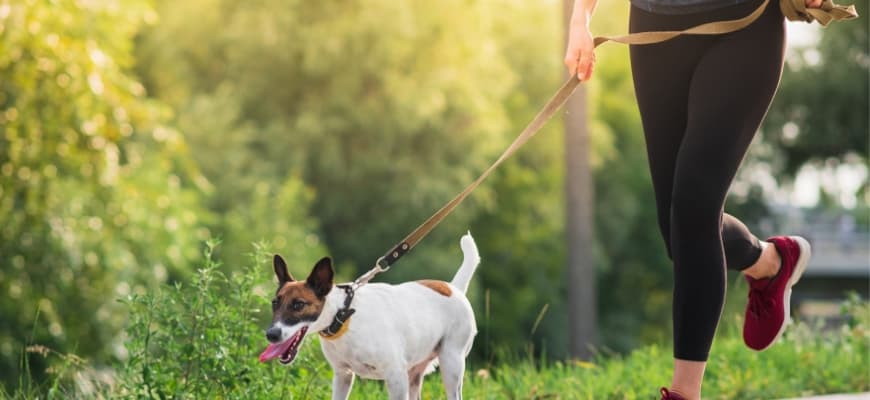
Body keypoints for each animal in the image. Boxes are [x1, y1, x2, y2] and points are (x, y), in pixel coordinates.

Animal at [258, 233, 484, 398]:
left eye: (298, 305)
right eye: (274, 303)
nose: (271, 334)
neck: (344, 317)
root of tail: (454, 288)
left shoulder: (395, 376)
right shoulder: (342, 376)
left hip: (451, 364)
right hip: (414, 373)